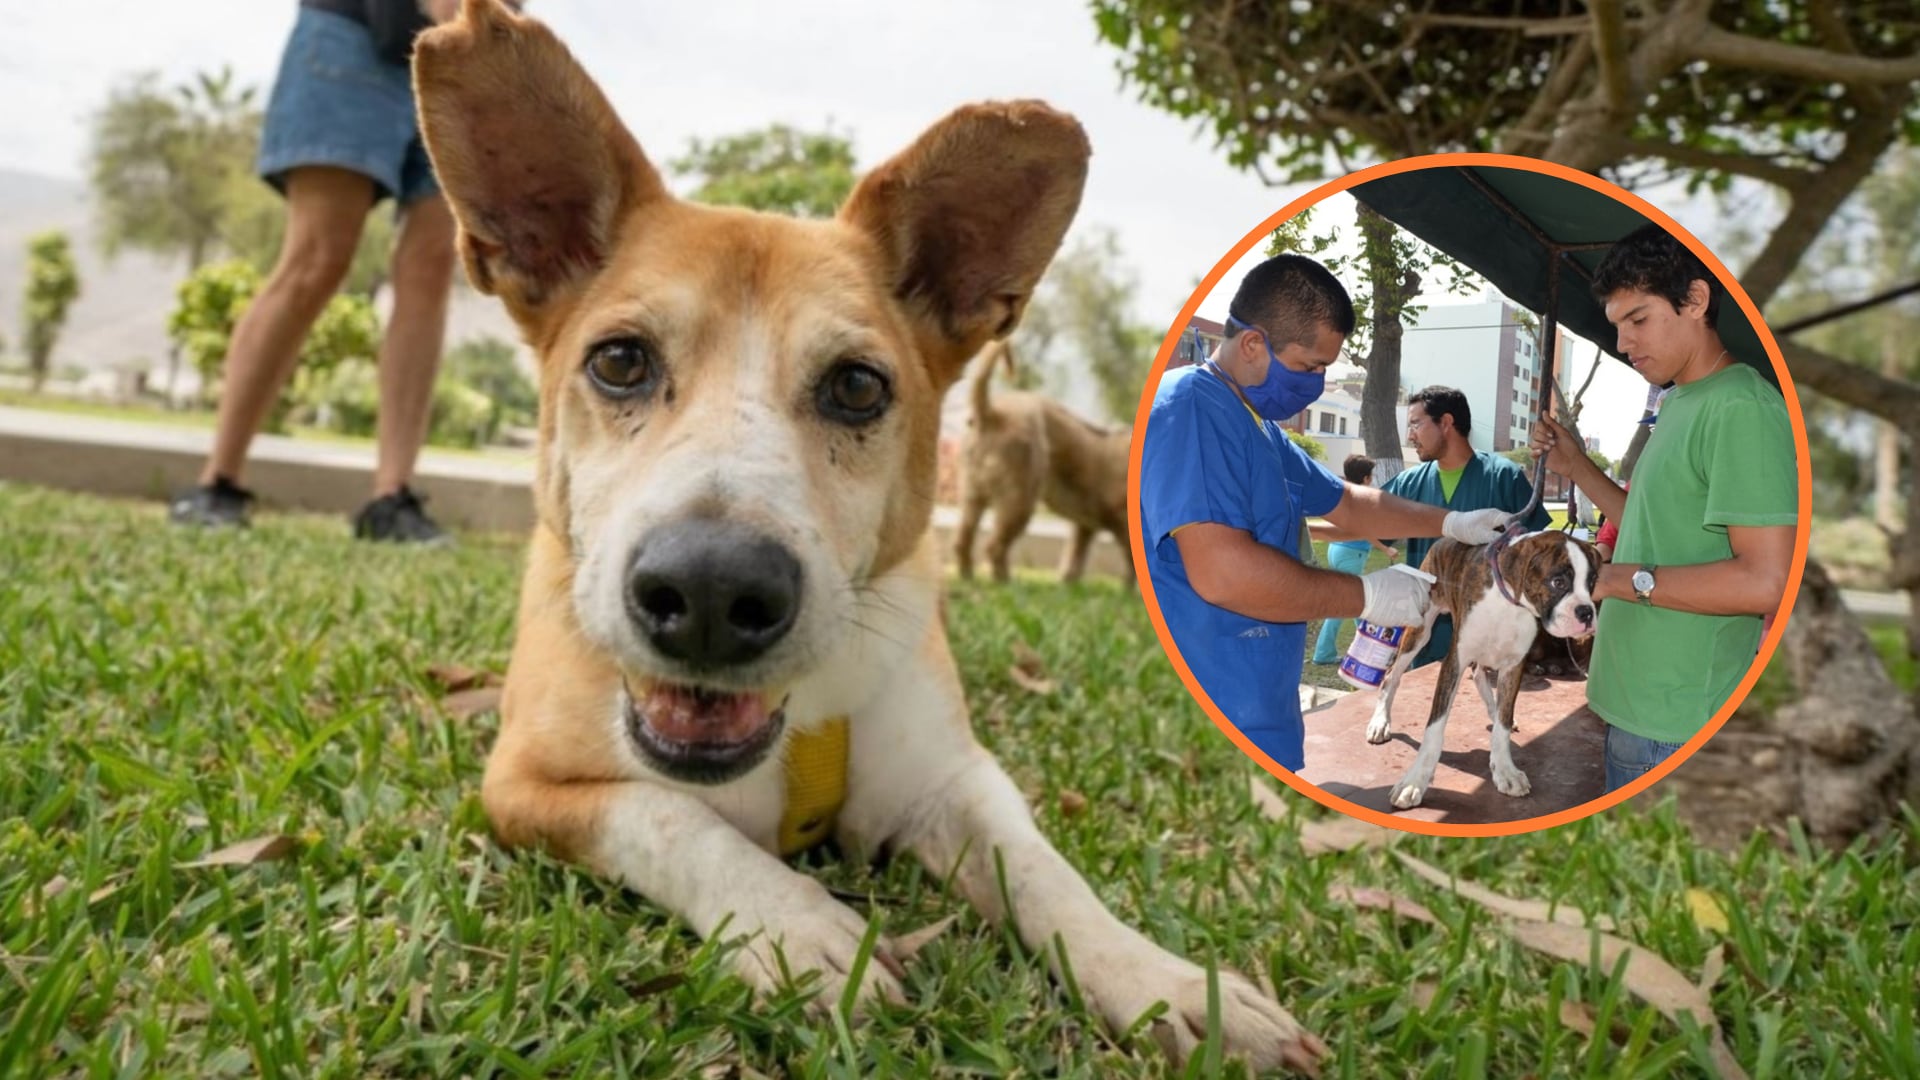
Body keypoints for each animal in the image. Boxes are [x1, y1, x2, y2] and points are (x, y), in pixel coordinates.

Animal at [952, 340, 1128, 584]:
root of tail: (992, 413)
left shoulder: (1084, 526)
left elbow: (1075, 556)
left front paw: (1068, 583)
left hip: (972, 494)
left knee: (963, 540)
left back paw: (967, 577)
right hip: (1019, 500)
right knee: (994, 546)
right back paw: (1005, 582)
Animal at [1367, 530, 1605, 807]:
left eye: (1592, 582)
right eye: (1558, 582)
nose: (1586, 612)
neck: (1509, 604)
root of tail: (1443, 541)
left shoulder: (1513, 666)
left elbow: (1503, 724)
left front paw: (1504, 770)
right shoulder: (1454, 662)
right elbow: (1434, 729)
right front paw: (1415, 781)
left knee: (1481, 676)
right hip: (1420, 630)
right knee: (1391, 676)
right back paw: (1380, 722)